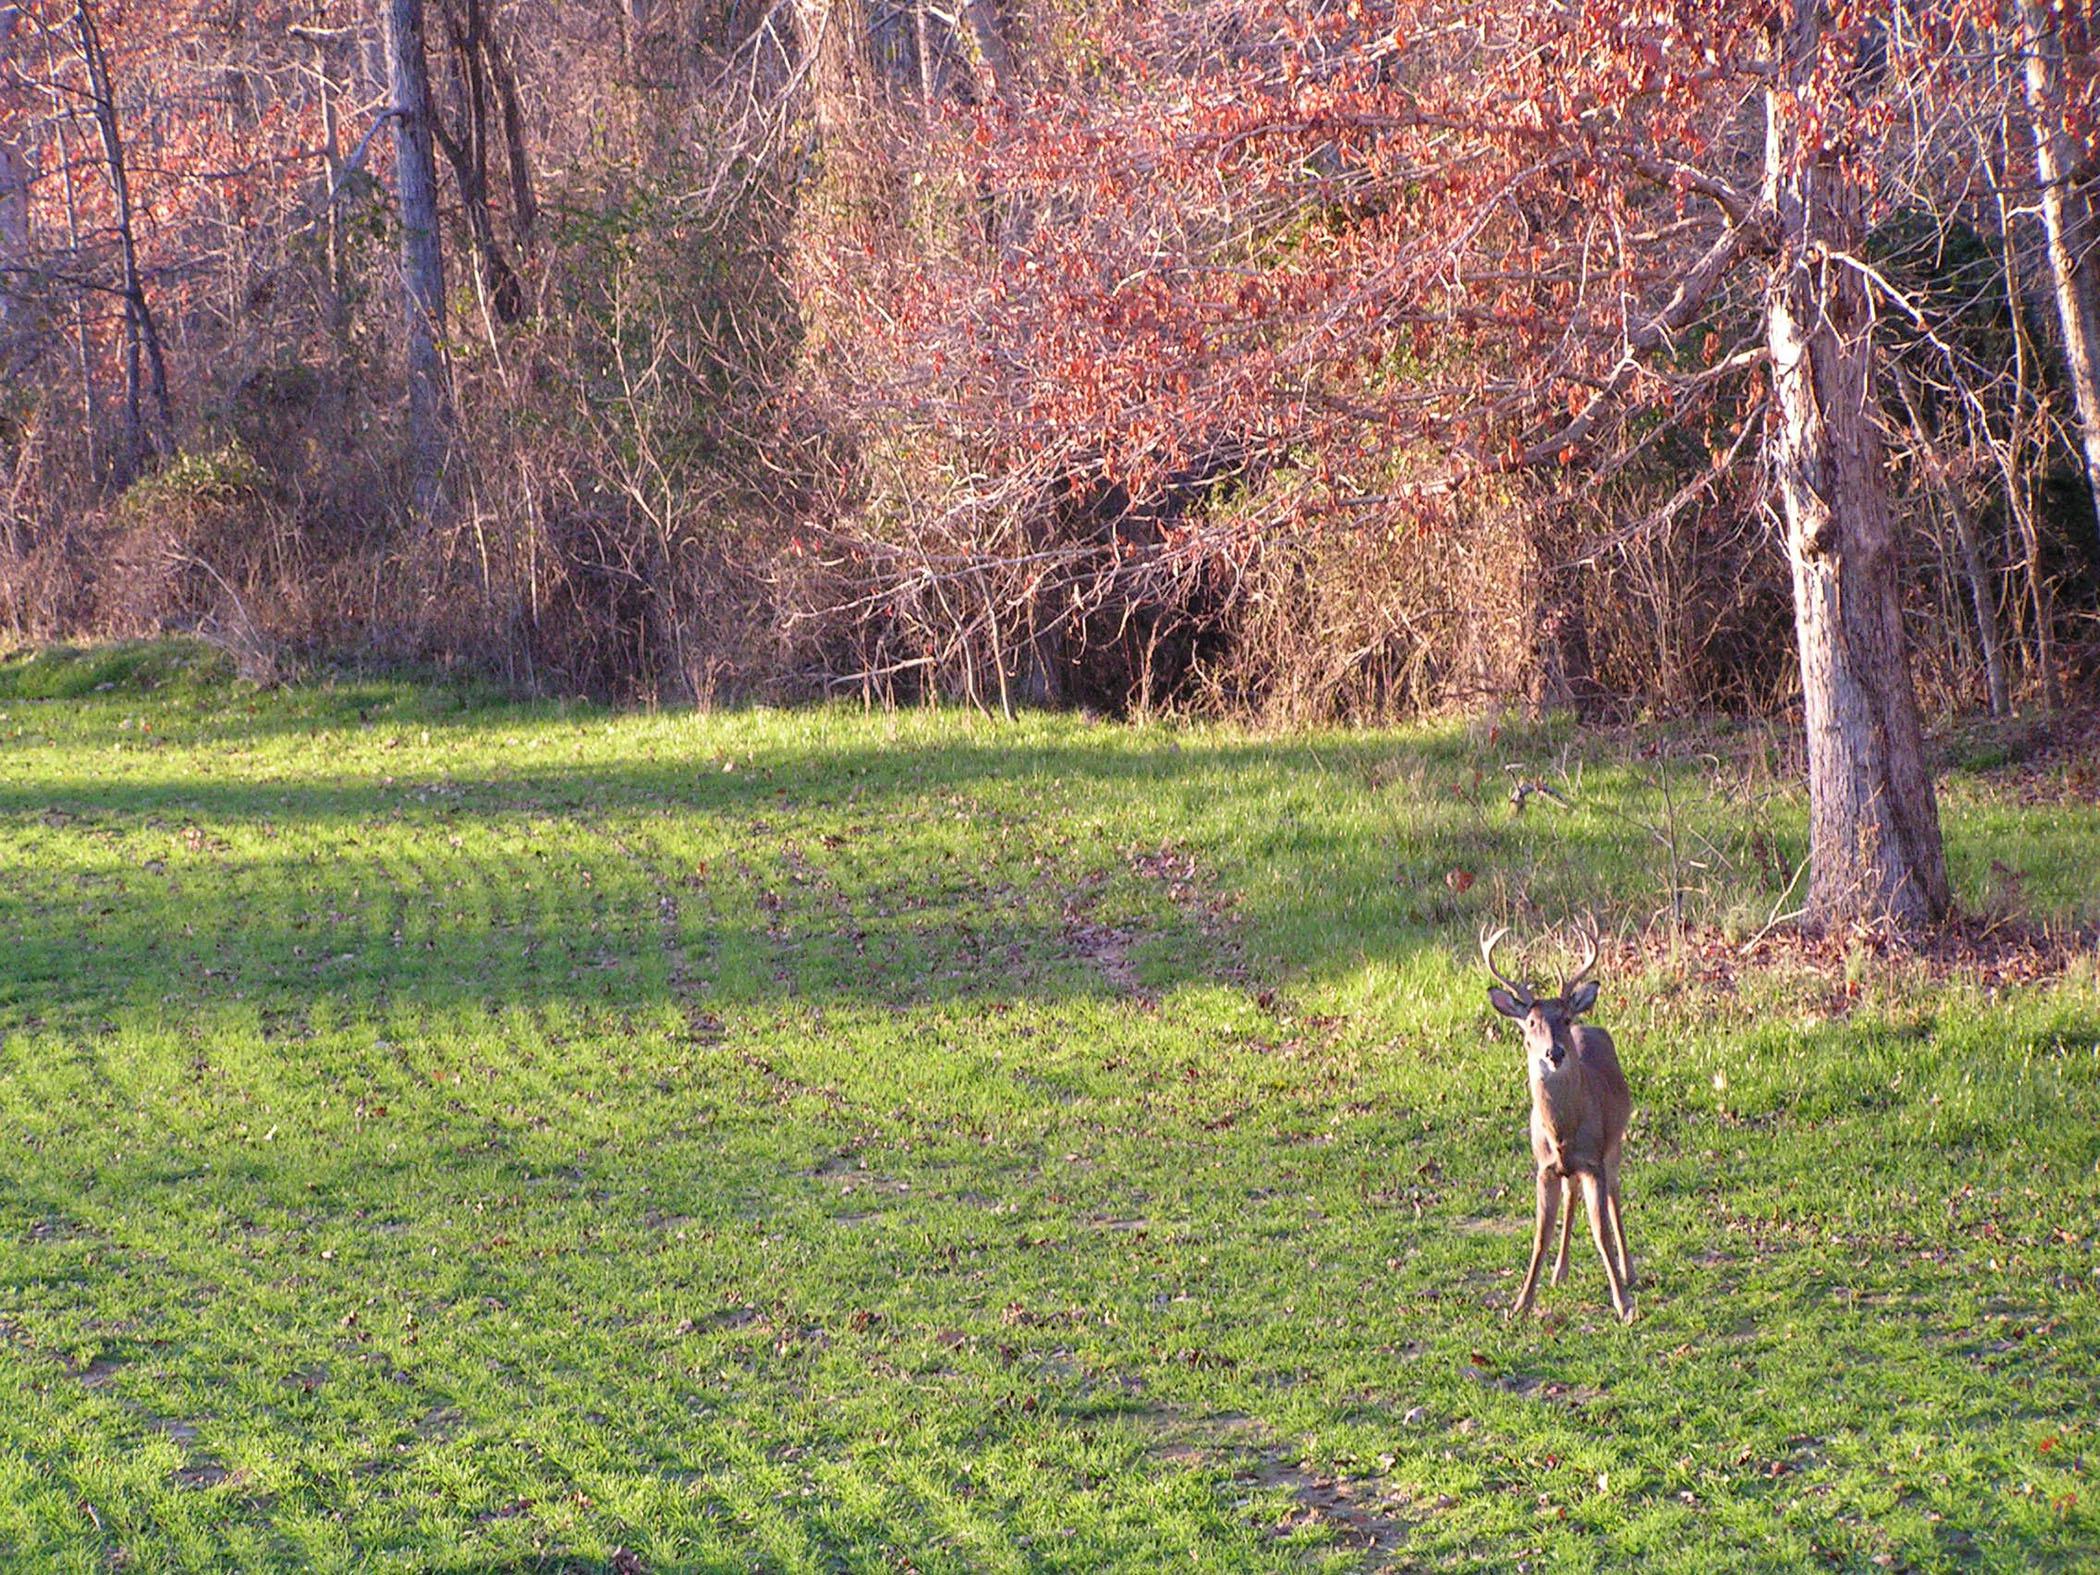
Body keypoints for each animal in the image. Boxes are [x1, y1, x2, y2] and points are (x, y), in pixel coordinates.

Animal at [1486, 919, 1629, 1327]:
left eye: (1564, 1019)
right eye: (1530, 1023)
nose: (1554, 1052)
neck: (1563, 1132)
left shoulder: (1594, 1161)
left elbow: (1601, 1233)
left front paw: (1623, 1303)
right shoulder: (1545, 1168)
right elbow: (1540, 1236)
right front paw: (1520, 1304)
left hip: (1614, 1145)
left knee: (1615, 1197)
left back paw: (1629, 1271)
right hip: (1571, 1170)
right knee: (1571, 1195)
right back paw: (1559, 1272)